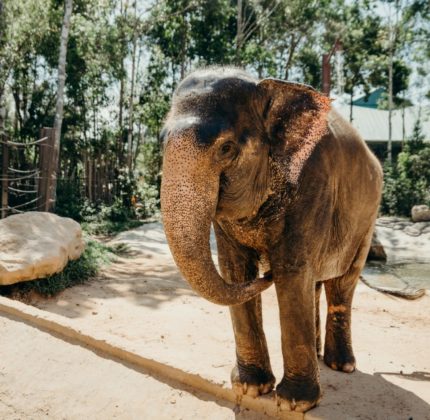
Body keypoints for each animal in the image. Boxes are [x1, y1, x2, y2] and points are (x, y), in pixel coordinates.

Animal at [160, 67, 382, 412]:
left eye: (226, 148)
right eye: (162, 141)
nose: (267, 274)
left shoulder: (313, 186)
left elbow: (291, 271)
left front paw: (294, 403)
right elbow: (235, 270)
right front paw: (252, 388)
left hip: (367, 220)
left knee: (341, 285)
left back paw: (340, 365)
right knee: (315, 284)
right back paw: (318, 356)